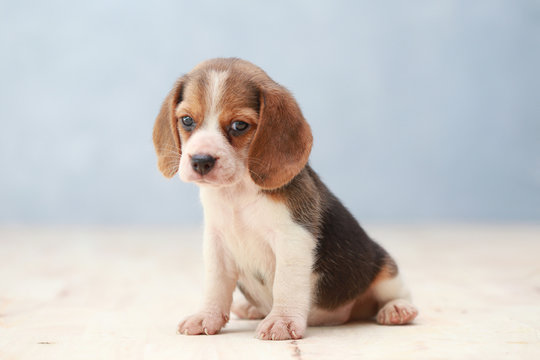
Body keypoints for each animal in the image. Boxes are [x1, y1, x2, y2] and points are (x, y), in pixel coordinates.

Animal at [152, 58, 418, 340]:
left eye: (239, 126)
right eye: (187, 120)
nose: (201, 161)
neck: (237, 193)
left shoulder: (293, 238)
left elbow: (285, 284)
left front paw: (282, 320)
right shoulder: (217, 243)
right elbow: (216, 285)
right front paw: (207, 316)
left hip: (383, 267)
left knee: (396, 291)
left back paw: (397, 309)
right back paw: (251, 308)